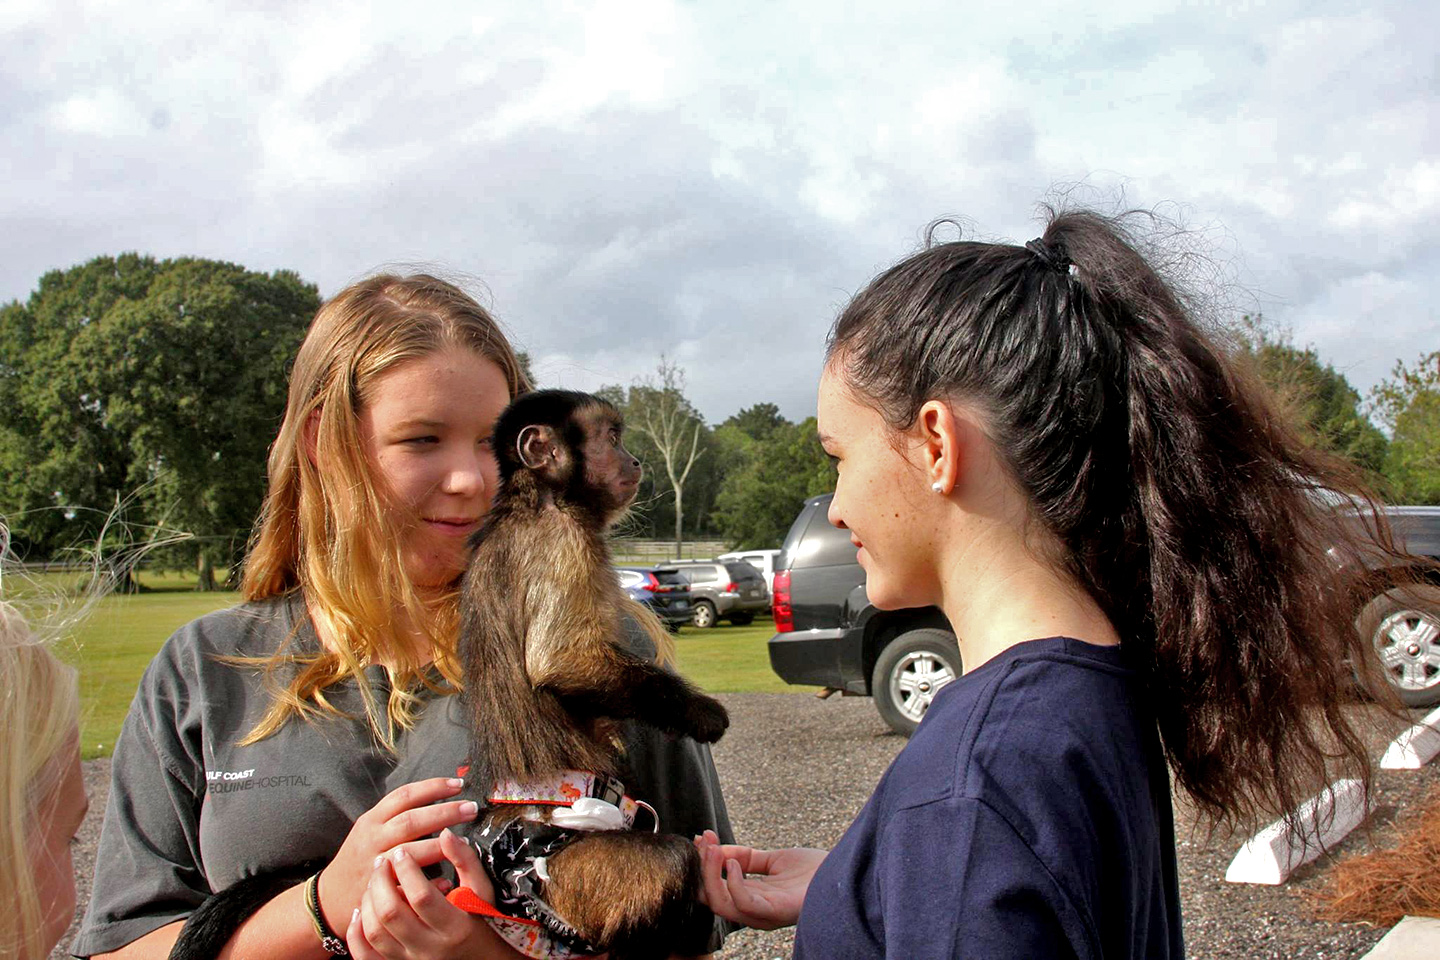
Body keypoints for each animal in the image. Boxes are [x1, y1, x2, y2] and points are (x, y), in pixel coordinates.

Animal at [457, 391, 731, 960]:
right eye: (612, 437)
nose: (636, 461)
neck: (537, 498)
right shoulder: (560, 538)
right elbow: (561, 662)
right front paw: (702, 715)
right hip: (565, 879)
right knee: (670, 860)